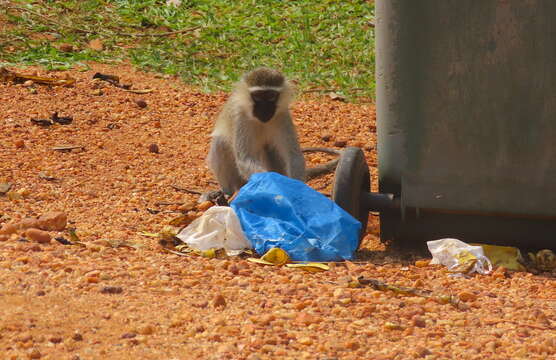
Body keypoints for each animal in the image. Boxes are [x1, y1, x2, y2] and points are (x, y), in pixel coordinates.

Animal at [206, 68, 338, 195]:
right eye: (257, 96)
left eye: (271, 96)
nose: (264, 110)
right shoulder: (240, 117)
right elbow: (245, 158)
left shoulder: (283, 115)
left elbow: (293, 155)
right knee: (220, 143)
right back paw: (230, 192)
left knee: (270, 147)